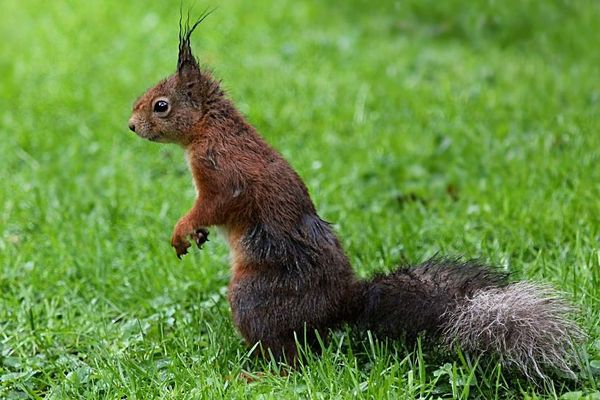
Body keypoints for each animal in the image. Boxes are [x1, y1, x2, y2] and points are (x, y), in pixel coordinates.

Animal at [129, 14, 584, 380]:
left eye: (161, 105)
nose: (132, 126)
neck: (210, 127)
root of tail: (339, 304)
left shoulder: (222, 170)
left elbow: (217, 203)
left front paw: (183, 229)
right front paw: (197, 236)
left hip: (253, 297)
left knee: (291, 359)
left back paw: (258, 376)